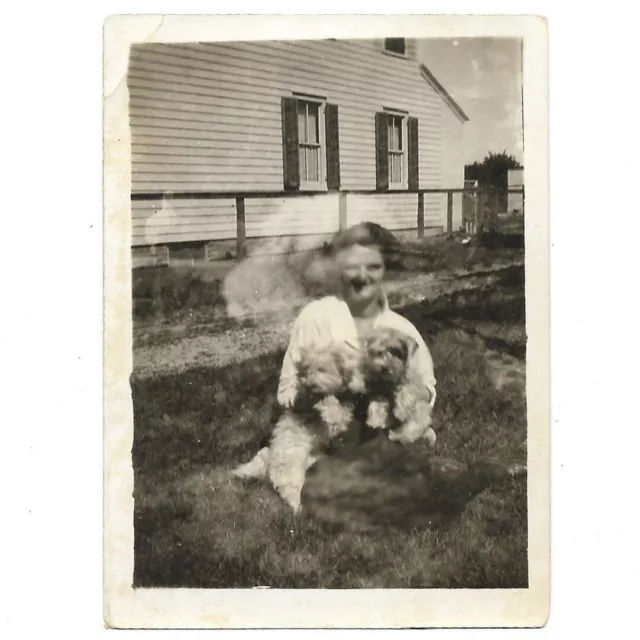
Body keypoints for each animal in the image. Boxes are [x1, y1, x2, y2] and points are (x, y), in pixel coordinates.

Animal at [231, 342, 362, 512]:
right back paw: (297, 509)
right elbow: (329, 409)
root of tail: (271, 456)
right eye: (306, 369)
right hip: (292, 468)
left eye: (321, 369)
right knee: (288, 489)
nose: (309, 384)